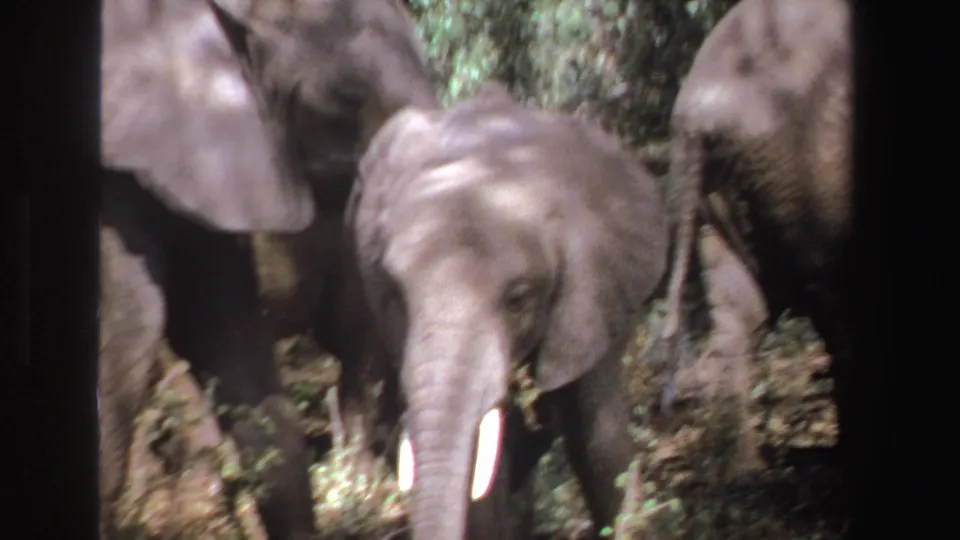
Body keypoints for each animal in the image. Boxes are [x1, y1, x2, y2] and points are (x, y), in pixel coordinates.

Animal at [655, 0, 853, 472]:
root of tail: (691, 115)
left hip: (722, 195)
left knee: (741, 317)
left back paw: (745, 473)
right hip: (802, 178)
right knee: (833, 310)